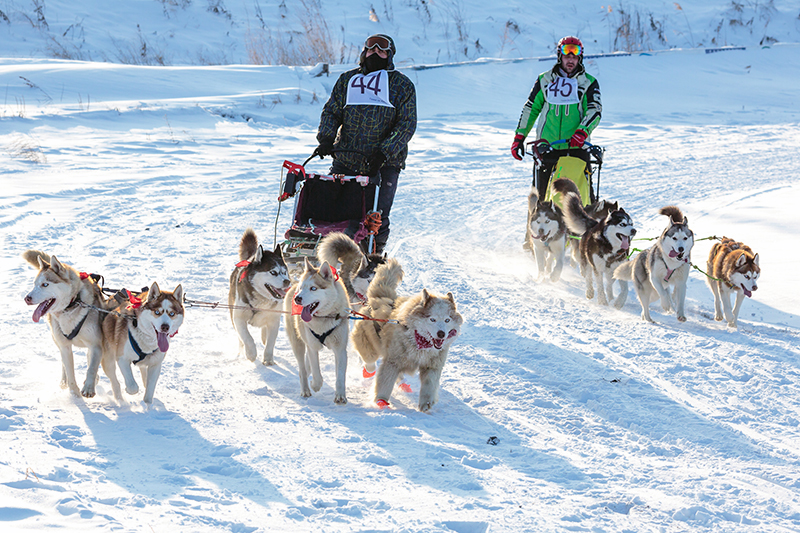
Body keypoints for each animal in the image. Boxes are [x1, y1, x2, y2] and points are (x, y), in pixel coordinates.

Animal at [21, 251, 111, 396]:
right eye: (34, 284)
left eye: (45, 284)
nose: (27, 298)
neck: (72, 306)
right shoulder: (65, 347)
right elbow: (70, 372)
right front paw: (75, 394)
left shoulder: (96, 344)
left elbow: (92, 367)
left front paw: (88, 387)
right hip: (58, 340)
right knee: (64, 363)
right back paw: (64, 381)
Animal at [228, 229, 290, 366]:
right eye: (273, 272)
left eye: (284, 272)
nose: (287, 281)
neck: (262, 300)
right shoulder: (239, 318)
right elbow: (247, 337)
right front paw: (251, 353)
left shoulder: (274, 320)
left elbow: (270, 343)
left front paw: (268, 359)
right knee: (240, 338)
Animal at [286, 258, 352, 404]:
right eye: (302, 287)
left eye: (313, 288)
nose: (297, 298)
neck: (324, 319)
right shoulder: (312, 347)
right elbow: (316, 369)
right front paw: (316, 384)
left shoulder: (340, 349)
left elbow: (340, 375)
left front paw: (340, 396)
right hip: (298, 343)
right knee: (302, 369)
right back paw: (305, 389)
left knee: (306, 366)